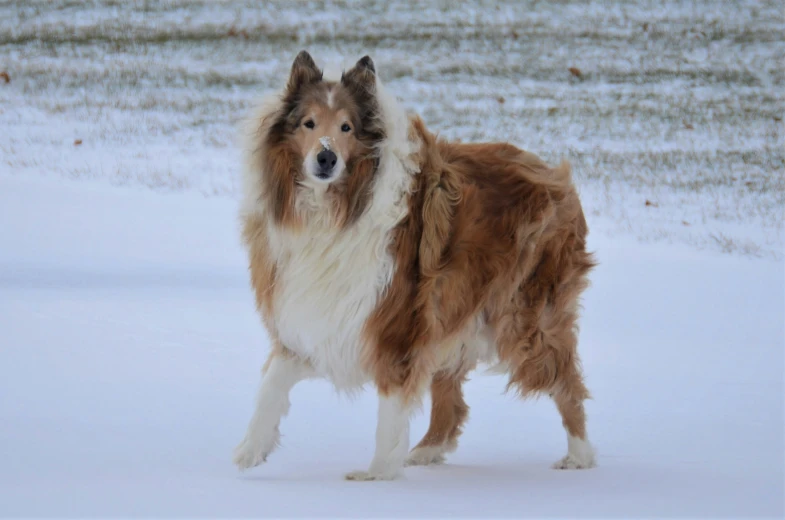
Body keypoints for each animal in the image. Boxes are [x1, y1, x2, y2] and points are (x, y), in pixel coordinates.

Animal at [233, 50, 596, 482]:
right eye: (309, 123)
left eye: (347, 127)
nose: (325, 157)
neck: (336, 207)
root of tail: (558, 177)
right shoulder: (315, 315)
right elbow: (272, 384)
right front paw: (248, 453)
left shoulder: (395, 323)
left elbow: (390, 408)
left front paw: (377, 474)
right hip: (451, 309)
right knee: (452, 399)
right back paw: (428, 450)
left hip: (523, 317)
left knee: (566, 381)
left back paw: (579, 456)